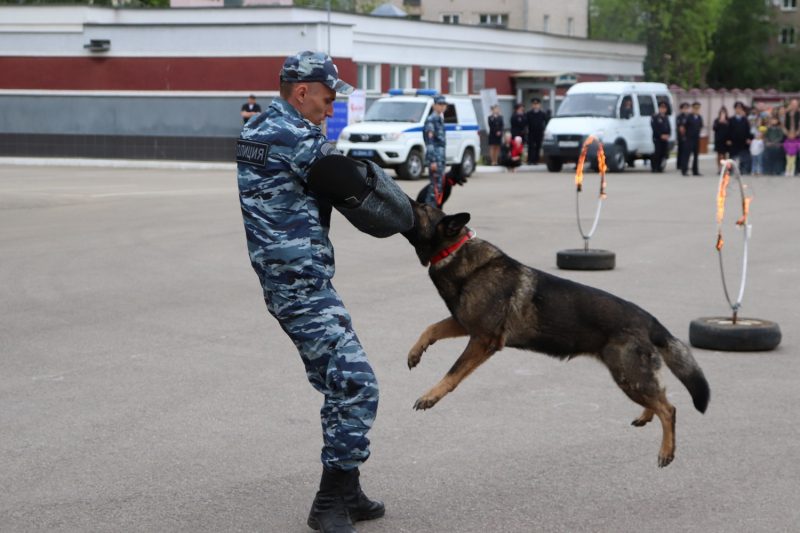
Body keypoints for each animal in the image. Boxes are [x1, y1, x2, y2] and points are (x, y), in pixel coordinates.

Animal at [404, 200, 708, 466]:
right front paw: (415, 352)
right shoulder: (466, 325)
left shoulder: (482, 339)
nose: (406, 197)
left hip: (628, 376)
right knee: (661, 395)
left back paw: (666, 451)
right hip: (633, 378)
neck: (455, 252)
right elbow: (430, 328)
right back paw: (647, 415)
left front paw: (431, 396)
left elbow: (453, 372)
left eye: (423, 207)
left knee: (669, 409)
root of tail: (650, 320)